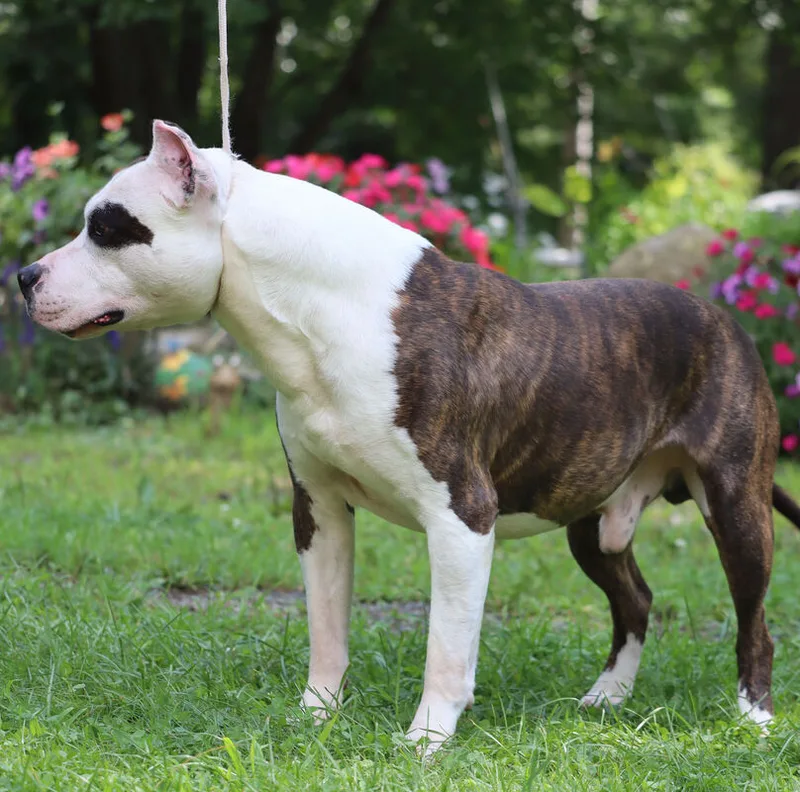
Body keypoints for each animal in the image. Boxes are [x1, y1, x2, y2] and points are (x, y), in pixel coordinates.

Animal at [19, 120, 800, 753]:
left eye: (109, 228)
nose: (24, 275)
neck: (320, 311)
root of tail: (726, 320)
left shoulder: (461, 519)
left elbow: (445, 648)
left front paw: (428, 738)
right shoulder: (320, 510)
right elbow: (326, 627)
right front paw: (316, 714)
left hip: (736, 505)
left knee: (753, 619)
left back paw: (754, 717)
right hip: (592, 516)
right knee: (634, 599)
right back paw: (608, 698)